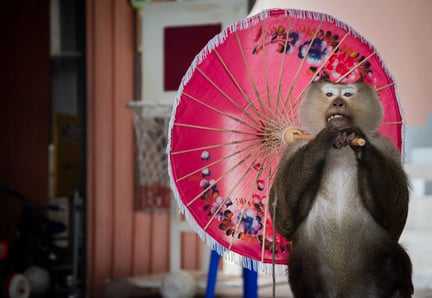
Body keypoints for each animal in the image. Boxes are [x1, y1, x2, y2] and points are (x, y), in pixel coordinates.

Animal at [268, 81, 414, 298]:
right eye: (329, 94)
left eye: (347, 94)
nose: (337, 103)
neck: (342, 149)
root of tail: (344, 292)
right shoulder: (294, 148)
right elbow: (284, 219)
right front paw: (325, 137)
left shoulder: (386, 147)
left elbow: (394, 218)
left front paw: (360, 142)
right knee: (299, 264)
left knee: (392, 260)